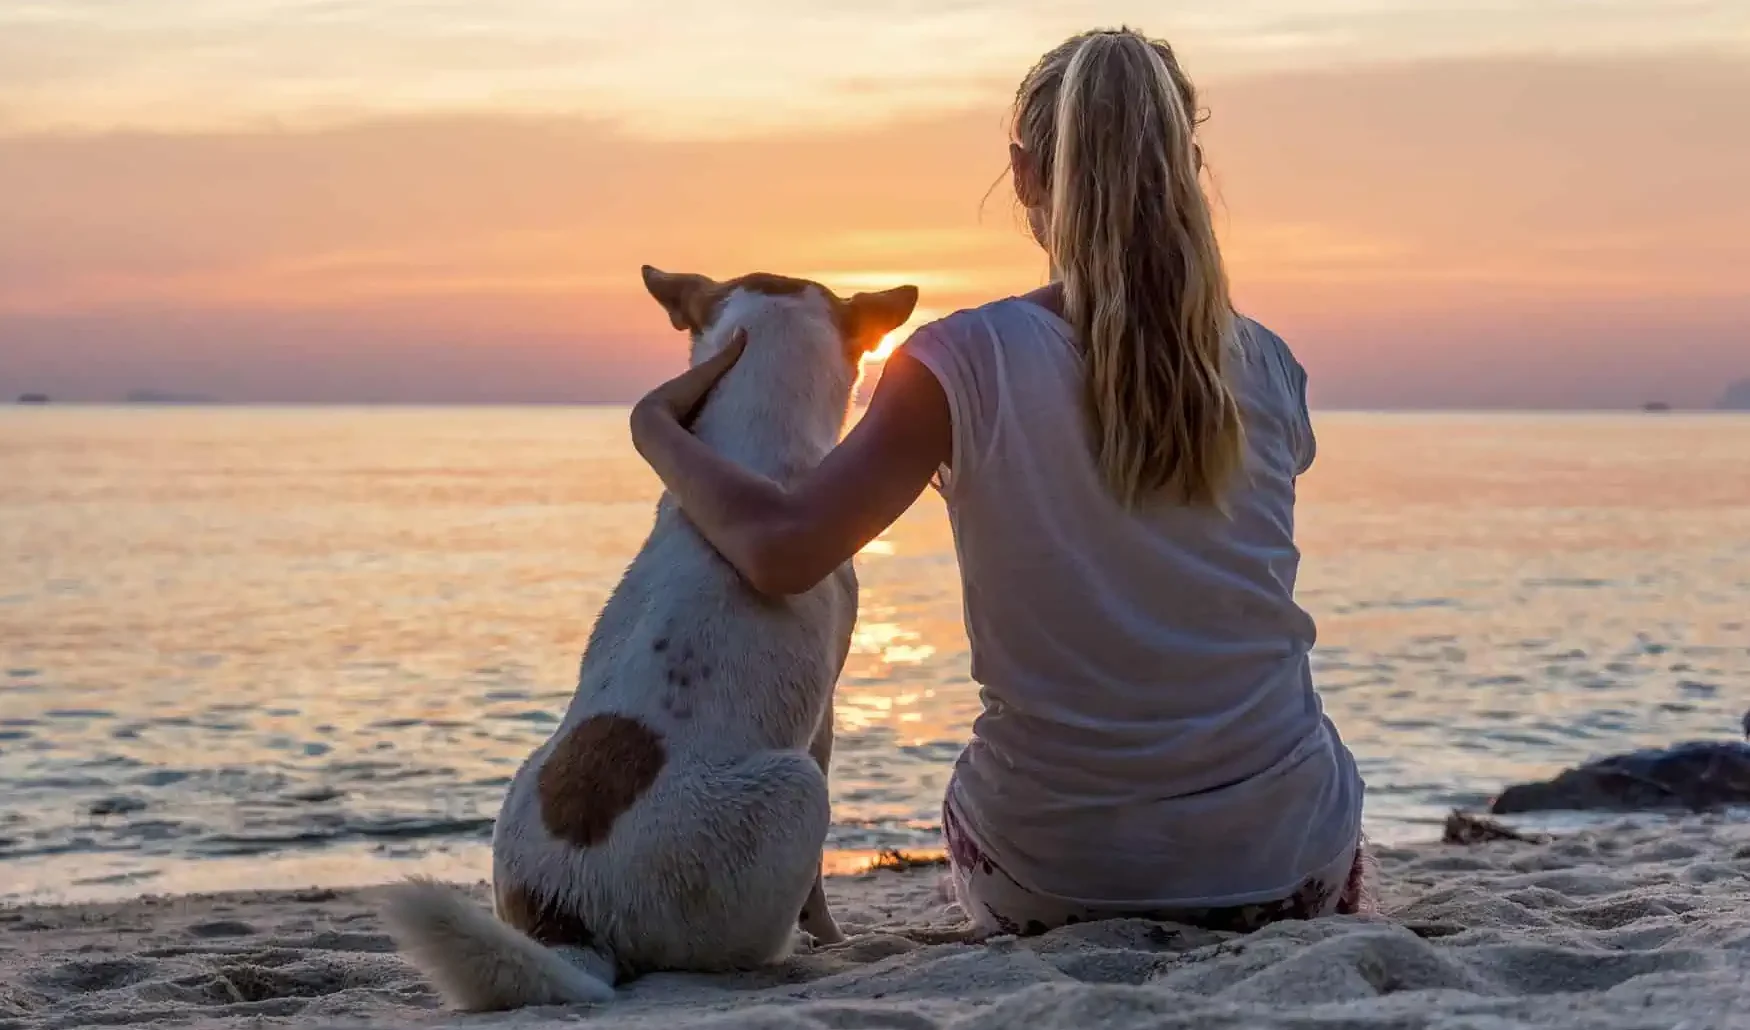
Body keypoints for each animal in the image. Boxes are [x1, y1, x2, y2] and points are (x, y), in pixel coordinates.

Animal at [376, 267, 924, 1014]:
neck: (750, 452)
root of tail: (568, 915)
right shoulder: (825, 715)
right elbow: (818, 887)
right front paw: (833, 939)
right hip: (797, 788)